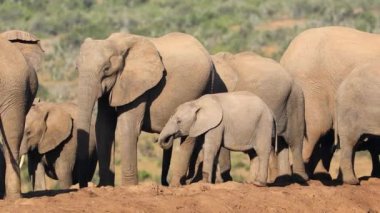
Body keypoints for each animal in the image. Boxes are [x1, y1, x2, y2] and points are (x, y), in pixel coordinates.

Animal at [76, 31, 214, 186]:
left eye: (106, 70)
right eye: (77, 68)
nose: (84, 184)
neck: (116, 43)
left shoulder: (138, 85)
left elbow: (128, 126)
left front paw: (129, 187)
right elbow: (103, 126)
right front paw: (105, 186)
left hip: (203, 88)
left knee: (190, 136)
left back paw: (176, 185)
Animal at [169, 51, 308, 185]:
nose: (186, 180)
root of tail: (293, 80)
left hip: (295, 101)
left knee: (295, 141)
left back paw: (299, 179)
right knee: (281, 144)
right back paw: (280, 181)